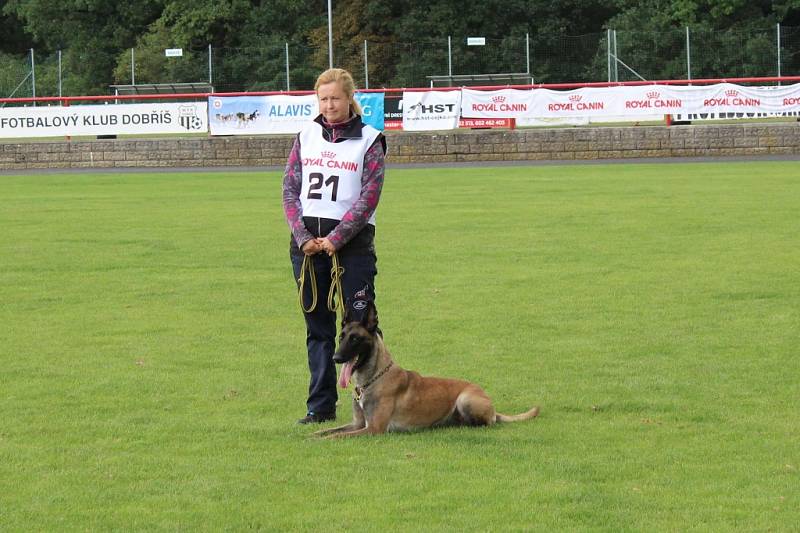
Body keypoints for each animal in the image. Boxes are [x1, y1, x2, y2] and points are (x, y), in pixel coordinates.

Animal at [312, 298, 536, 438]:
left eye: (355, 339)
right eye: (341, 337)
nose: (336, 357)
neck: (373, 378)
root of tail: (492, 405)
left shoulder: (373, 429)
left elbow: (336, 436)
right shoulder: (358, 424)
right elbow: (329, 431)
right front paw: (311, 434)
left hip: (465, 399)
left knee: (488, 423)